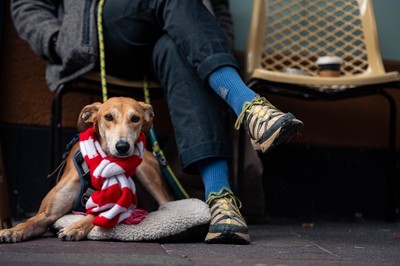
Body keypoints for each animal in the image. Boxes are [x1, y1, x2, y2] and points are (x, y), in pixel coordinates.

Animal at [0, 96, 173, 242]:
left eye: (135, 118)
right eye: (108, 117)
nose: (123, 147)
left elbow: (94, 215)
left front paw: (75, 228)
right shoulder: (46, 214)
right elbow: (29, 222)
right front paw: (12, 230)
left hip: (145, 172)